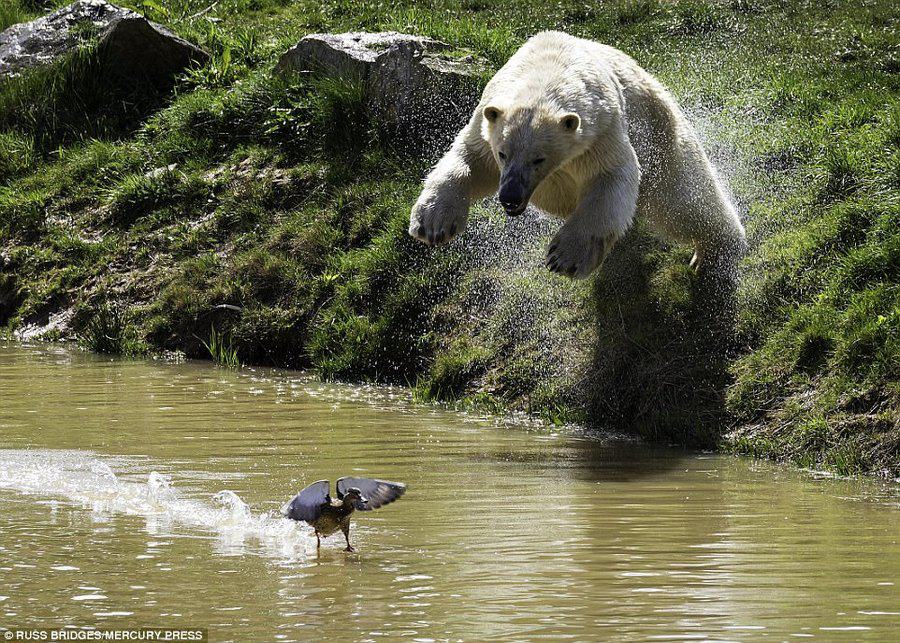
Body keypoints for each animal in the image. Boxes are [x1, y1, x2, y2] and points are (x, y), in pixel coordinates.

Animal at [408, 30, 744, 278]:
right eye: (503, 154)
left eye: (539, 159)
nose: (510, 197)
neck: (546, 70)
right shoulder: (487, 118)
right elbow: (472, 160)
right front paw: (433, 222)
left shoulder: (600, 132)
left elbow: (610, 178)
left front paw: (566, 258)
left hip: (658, 128)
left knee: (683, 197)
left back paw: (718, 250)